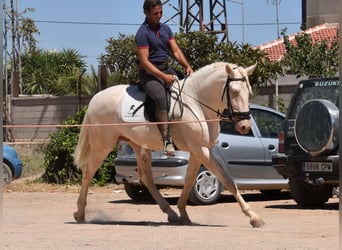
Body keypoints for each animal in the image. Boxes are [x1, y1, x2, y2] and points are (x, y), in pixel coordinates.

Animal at [73, 61, 264, 228]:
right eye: (234, 91)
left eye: (249, 91)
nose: (244, 126)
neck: (196, 101)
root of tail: (97, 98)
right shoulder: (201, 149)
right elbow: (227, 180)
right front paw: (254, 217)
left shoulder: (199, 150)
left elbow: (189, 180)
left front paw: (183, 214)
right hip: (102, 145)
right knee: (88, 172)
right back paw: (80, 213)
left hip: (138, 145)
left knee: (146, 177)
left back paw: (170, 213)